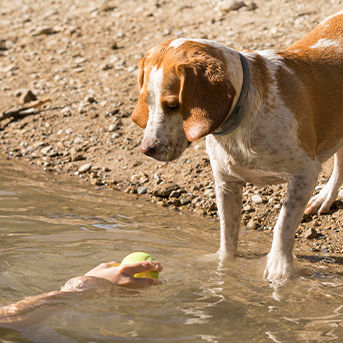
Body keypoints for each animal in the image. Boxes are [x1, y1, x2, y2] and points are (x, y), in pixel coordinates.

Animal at [130, 10, 343, 282]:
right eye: (147, 102)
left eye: (172, 105)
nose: (147, 149)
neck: (241, 117)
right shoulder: (226, 183)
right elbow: (228, 233)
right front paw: (224, 267)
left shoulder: (305, 173)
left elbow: (283, 224)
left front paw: (279, 267)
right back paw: (326, 196)